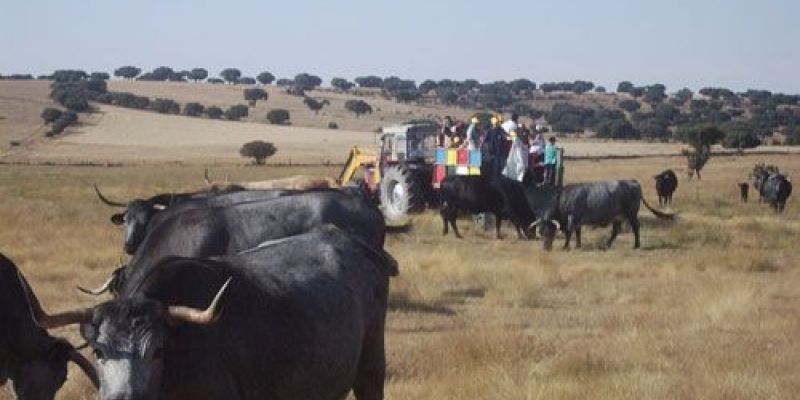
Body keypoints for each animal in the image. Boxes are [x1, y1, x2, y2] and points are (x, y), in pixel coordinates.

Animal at [532, 180, 676, 250]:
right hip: (618, 217)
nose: (546, 248)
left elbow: (569, 232)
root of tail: (634, 183)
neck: (564, 198)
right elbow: (577, 233)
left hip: (631, 214)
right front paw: (578, 245)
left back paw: (636, 245)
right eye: (541, 232)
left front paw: (565, 246)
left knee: (635, 228)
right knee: (615, 231)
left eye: (550, 231)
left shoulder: (572, 218)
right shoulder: (577, 221)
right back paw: (607, 244)